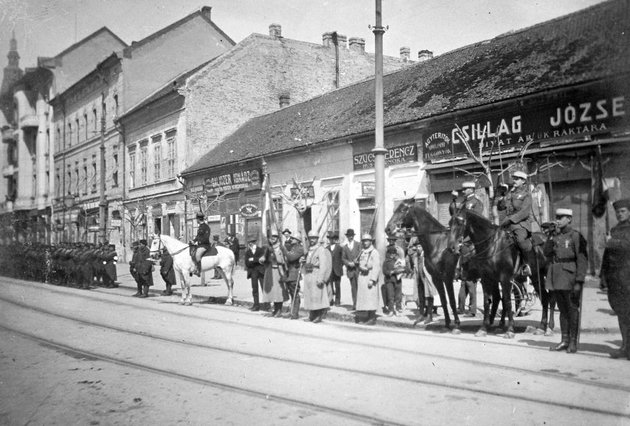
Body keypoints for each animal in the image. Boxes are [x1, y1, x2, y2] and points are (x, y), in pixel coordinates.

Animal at [388, 200, 462, 332]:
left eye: (402, 210)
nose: (388, 228)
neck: (437, 243)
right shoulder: (436, 278)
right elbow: (443, 300)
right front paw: (447, 324)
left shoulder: (447, 277)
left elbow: (452, 300)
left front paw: (457, 324)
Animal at [446, 208, 556, 338]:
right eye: (450, 223)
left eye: (460, 222)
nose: (452, 247)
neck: (492, 245)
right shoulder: (487, 279)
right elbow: (487, 302)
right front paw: (483, 328)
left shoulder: (505, 278)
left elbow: (507, 301)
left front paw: (510, 329)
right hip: (535, 276)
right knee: (545, 298)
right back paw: (542, 327)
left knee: (551, 299)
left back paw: (550, 327)